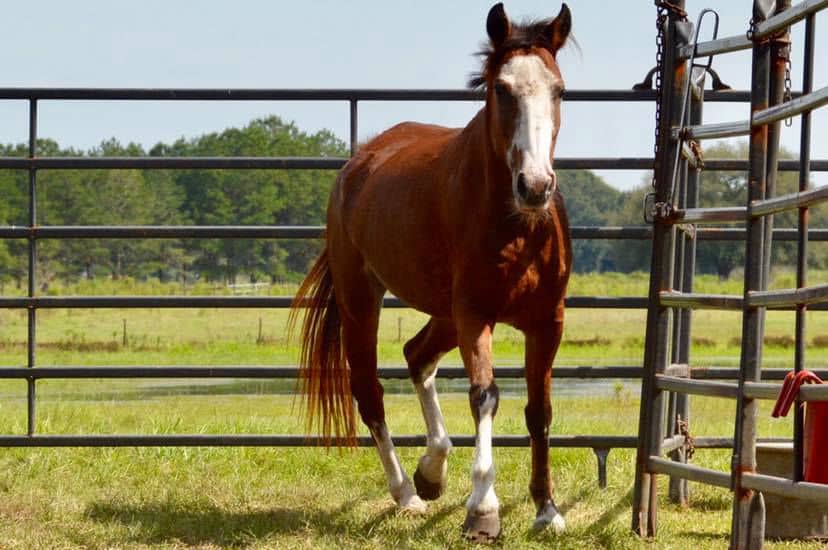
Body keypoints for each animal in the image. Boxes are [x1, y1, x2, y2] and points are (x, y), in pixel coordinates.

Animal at [290, 1, 568, 544]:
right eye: (501, 89)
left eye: (559, 89)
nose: (535, 185)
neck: (517, 227)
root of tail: (360, 164)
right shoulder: (476, 315)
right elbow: (485, 396)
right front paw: (483, 510)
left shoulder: (547, 321)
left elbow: (539, 411)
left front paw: (546, 510)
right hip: (363, 301)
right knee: (370, 392)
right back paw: (408, 494)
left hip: (443, 314)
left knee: (416, 356)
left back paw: (431, 470)